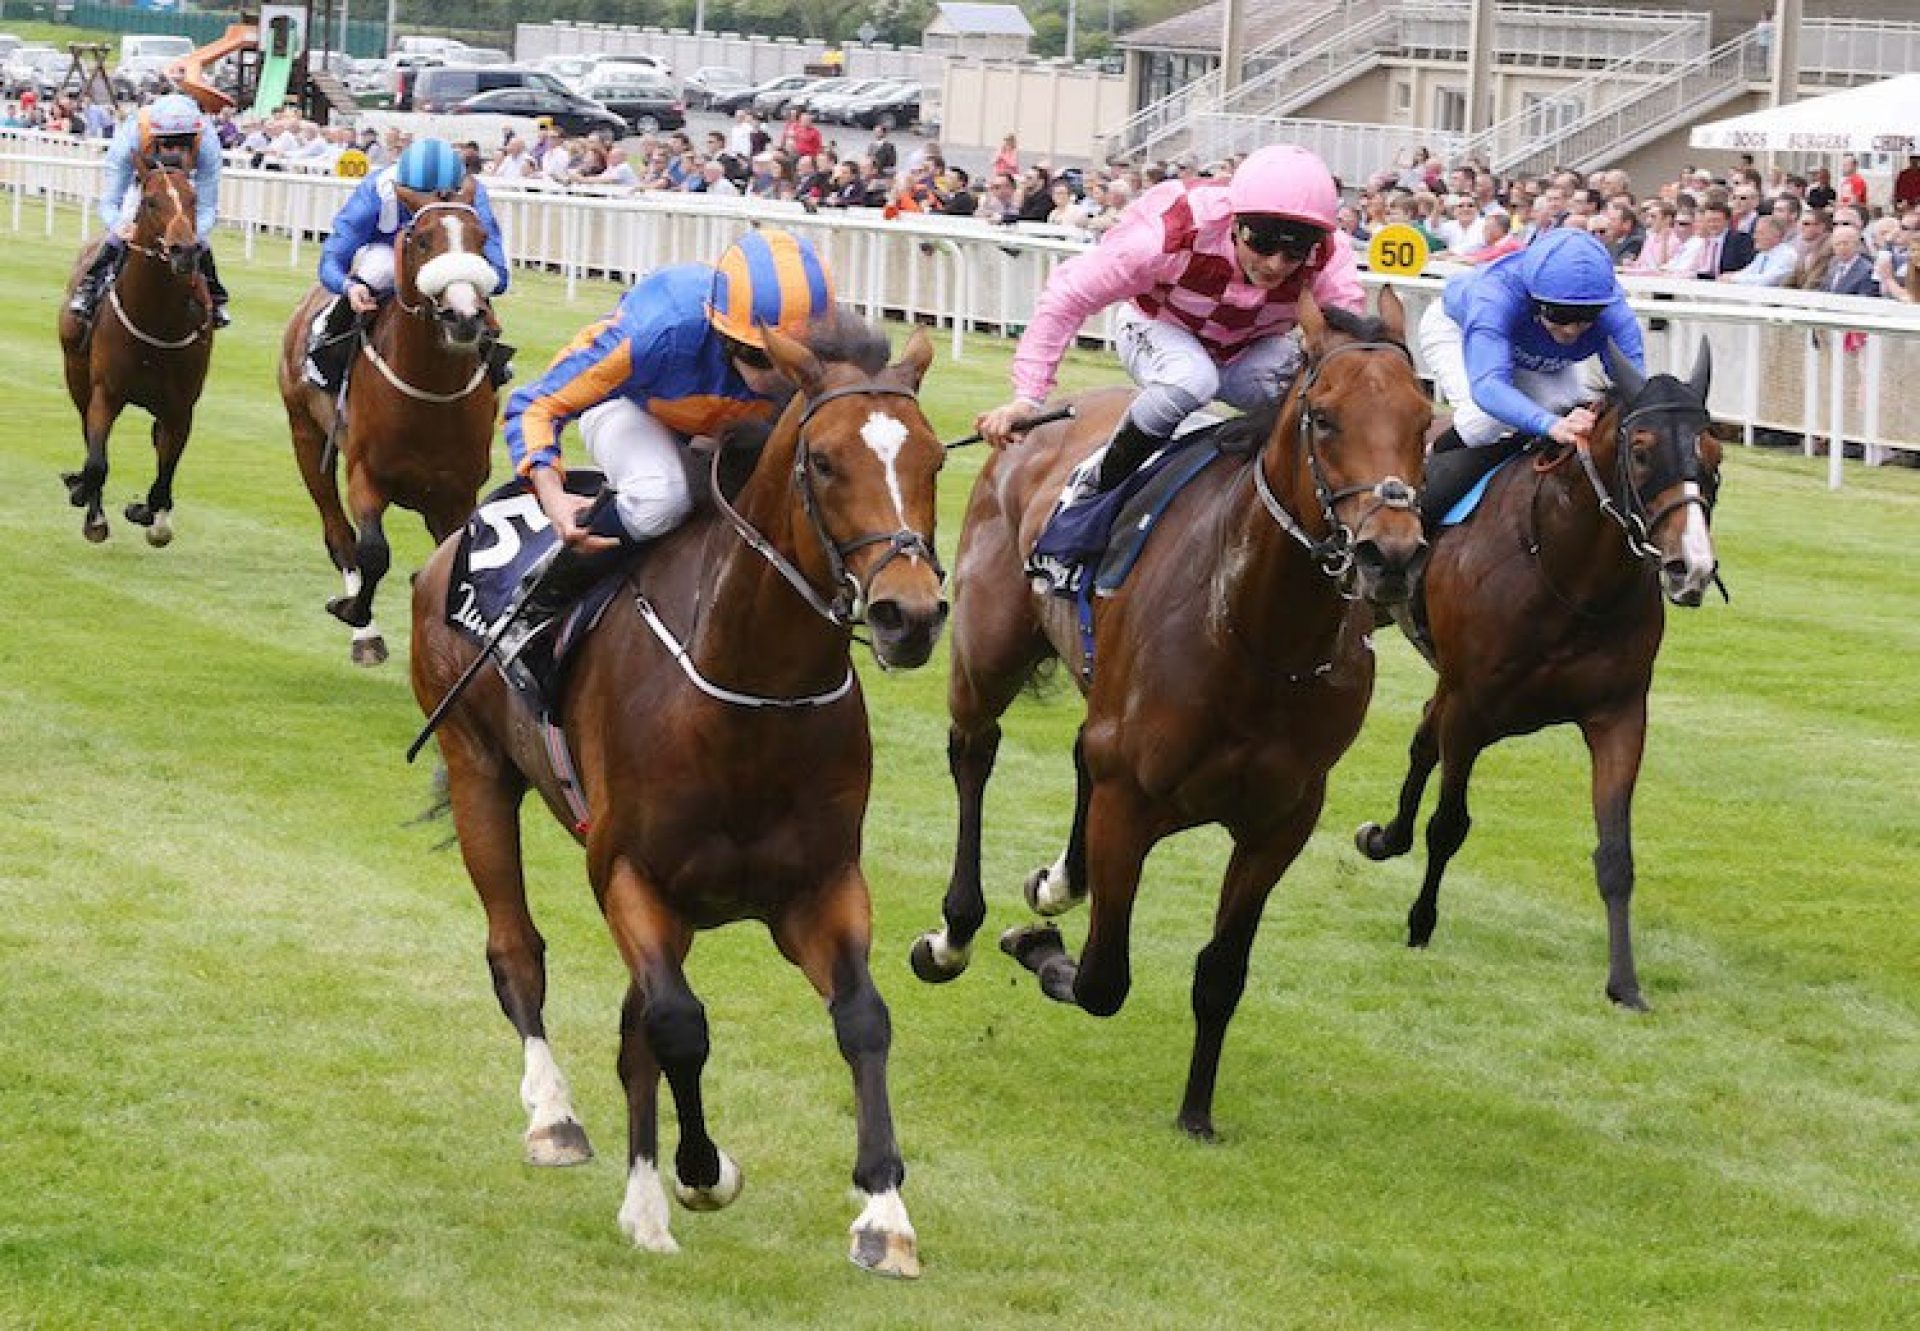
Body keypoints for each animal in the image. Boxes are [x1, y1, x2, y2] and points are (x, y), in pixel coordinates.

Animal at [56, 161, 216, 545]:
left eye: (193, 198)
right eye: (150, 201)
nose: (184, 251)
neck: (156, 320)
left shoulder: (180, 408)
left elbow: (164, 474)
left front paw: (152, 517)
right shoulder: (106, 393)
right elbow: (96, 463)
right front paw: (91, 510)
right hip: (75, 373)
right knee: (86, 432)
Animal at [280, 173, 506, 660]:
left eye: (481, 239)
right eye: (422, 240)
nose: (465, 316)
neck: (432, 395)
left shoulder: (457, 495)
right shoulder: (366, 474)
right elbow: (373, 551)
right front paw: (356, 616)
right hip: (305, 434)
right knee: (338, 533)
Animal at [408, 314, 948, 1275]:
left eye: (933, 460)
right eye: (823, 462)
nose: (908, 614)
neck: (751, 693)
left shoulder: (820, 884)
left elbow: (860, 1018)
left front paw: (884, 1212)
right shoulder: (629, 872)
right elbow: (678, 1024)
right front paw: (704, 1171)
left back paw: (640, 1201)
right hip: (479, 770)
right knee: (517, 952)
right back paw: (554, 1116)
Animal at [910, 295, 1428, 1137]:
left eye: (1422, 418)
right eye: (1323, 418)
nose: (1392, 554)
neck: (1258, 634)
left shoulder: (1280, 819)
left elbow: (1220, 972)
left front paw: (1196, 1111)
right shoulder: (1131, 801)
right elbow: (1100, 978)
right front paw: (1034, 942)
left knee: (1077, 752)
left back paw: (1059, 879)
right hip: (986, 650)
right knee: (973, 753)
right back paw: (956, 931)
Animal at [1351, 341, 1728, 1006]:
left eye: (1715, 456)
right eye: (1641, 450)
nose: (1692, 568)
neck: (1567, 574)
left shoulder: (1618, 714)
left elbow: (1616, 854)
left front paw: (1624, 984)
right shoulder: (1472, 708)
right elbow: (1449, 825)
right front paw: (1421, 924)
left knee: (1422, 736)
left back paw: (1385, 836)